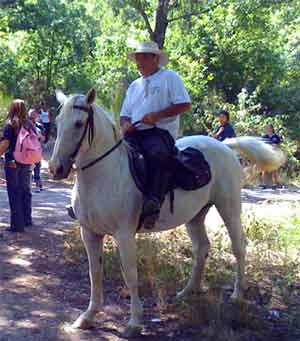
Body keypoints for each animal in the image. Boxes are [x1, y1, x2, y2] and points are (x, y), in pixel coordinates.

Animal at [49, 88, 286, 338]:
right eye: (58, 121)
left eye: (78, 123)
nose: (55, 168)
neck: (104, 174)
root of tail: (225, 147)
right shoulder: (90, 233)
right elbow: (94, 273)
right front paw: (88, 316)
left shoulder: (124, 235)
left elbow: (130, 275)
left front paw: (134, 323)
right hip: (196, 216)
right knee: (202, 248)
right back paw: (187, 292)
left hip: (229, 207)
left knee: (238, 246)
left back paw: (237, 295)